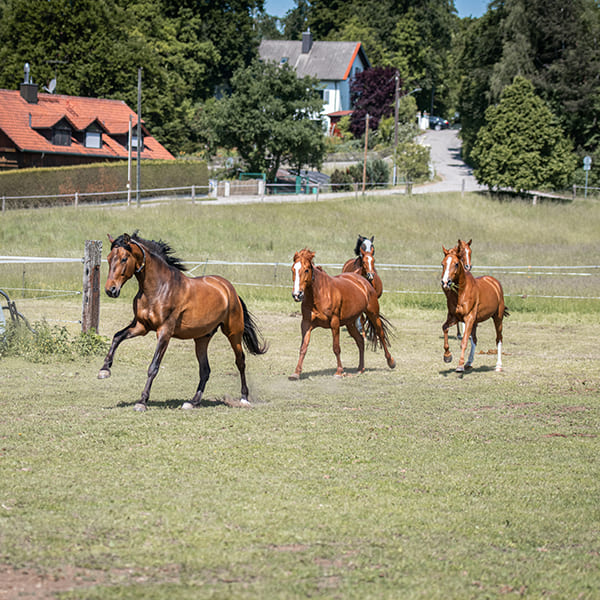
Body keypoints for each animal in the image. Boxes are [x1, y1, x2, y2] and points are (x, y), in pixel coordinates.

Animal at [99, 232, 268, 410]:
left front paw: (142, 402)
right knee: (205, 370)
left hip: (233, 333)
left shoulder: (164, 332)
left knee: (240, 362)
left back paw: (244, 398)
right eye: (109, 258)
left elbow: (153, 367)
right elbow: (117, 336)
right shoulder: (141, 326)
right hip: (202, 338)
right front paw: (104, 370)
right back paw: (193, 402)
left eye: (124, 258)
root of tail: (229, 289)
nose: (110, 290)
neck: (159, 288)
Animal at [290, 248, 396, 380]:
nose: (297, 294)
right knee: (360, 341)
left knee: (380, 334)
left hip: (373, 314)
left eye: (306, 270)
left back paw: (391, 362)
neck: (319, 294)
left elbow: (336, 347)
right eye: (293, 269)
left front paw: (339, 371)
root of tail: (363, 281)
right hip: (350, 323)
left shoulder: (334, 323)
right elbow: (303, 347)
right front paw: (296, 372)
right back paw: (360, 368)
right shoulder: (306, 324)